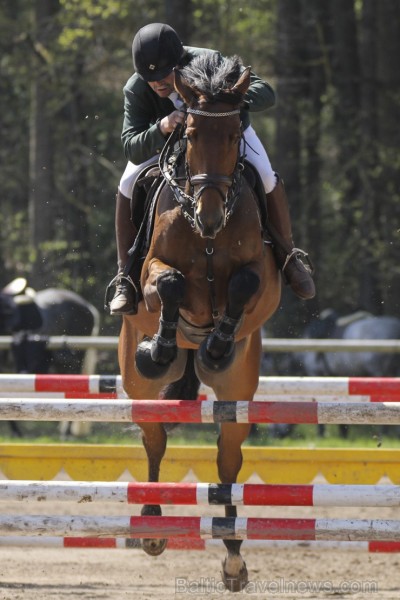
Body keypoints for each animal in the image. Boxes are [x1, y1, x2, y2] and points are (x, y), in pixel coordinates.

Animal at [119, 55, 282, 592]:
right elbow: (168, 284)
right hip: (140, 387)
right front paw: (160, 347)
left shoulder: (264, 282)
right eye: (187, 134)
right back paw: (151, 526)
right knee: (153, 438)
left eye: (234, 135)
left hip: (237, 394)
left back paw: (232, 556)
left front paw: (217, 342)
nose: (209, 218)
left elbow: (244, 284)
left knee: (227, 463)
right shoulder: (153, 271)